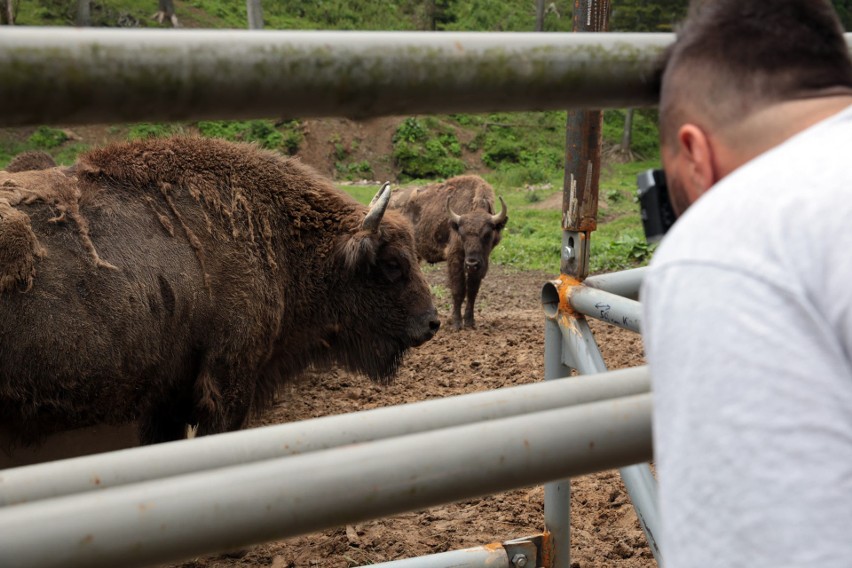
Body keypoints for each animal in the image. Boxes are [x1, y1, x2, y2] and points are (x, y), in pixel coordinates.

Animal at [392, 175, 506, 330]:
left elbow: (472, 291)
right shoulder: (455, 258)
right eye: (461, 234)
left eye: (487, 234)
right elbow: (458, 290)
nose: (471, 263)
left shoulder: (482, 262)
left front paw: (470, 322)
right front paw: (456, 324)